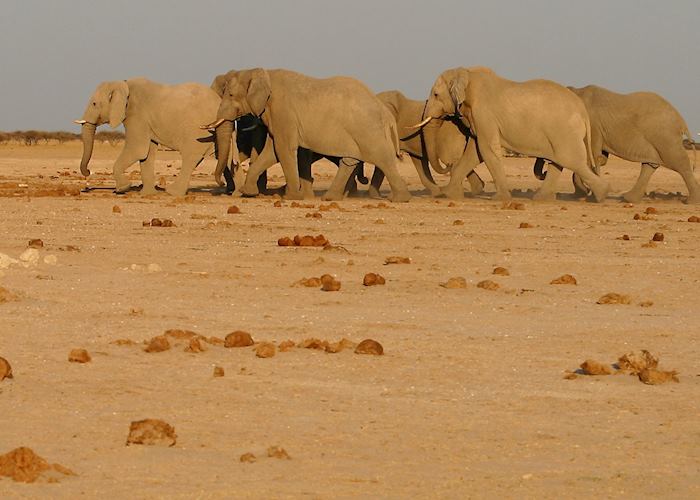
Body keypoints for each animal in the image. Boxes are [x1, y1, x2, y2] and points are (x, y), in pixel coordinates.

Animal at [75, 78, 227, 196]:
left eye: (94, 104)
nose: (88, 173)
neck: (123, 84)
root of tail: (217, 100)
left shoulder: (137, 115)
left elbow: (137, 150)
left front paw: (122, 188)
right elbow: (146, 154)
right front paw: (147, 194)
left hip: (198, 130)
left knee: (190, 157)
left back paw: (172, 192)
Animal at [204, 68, 411, 202]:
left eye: (231, 95)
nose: (219, 183)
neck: (261, 72)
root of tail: (386, 113)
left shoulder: (283, 111)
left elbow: (283, 149)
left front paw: (291, 197)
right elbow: (272, 151)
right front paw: (249, 192)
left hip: (368, 129)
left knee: (383, 158)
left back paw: (399, 199)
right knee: (350, 160)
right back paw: (330, 198)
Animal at [413, 66, 609, 202]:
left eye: (436, 94)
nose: (448, 165)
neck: (466, 73)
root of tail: (582, 109)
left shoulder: (484, 114)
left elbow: (486, 150)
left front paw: (499, 199)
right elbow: (475, 152)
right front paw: (448, 195)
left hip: (564, 131)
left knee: (572, 160)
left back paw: (600, 196)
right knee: (559, 161)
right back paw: (541, 198)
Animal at [534, 85, 699, 204]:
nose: (544, 172)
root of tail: (681, 121)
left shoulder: (592, 125)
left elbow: (591, 156)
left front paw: (586, 195)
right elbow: (597, 158)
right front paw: (585, 194)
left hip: (665, 137)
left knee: (679, 163)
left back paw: (691, 202)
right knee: (650, 165)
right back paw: (628, 199)